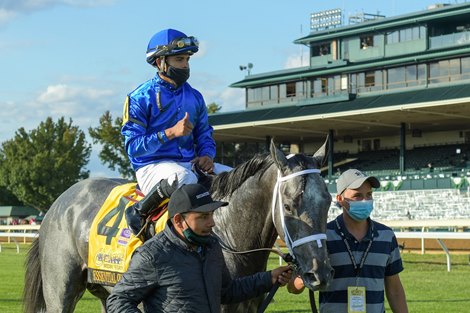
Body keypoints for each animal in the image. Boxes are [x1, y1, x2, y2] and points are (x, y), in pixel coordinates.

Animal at [23, 140, 334, 310]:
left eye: (329, 201)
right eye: (289, 205)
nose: (320, 273)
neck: (226, 232)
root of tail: (59, 201)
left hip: (105, 288)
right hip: (60, 290)